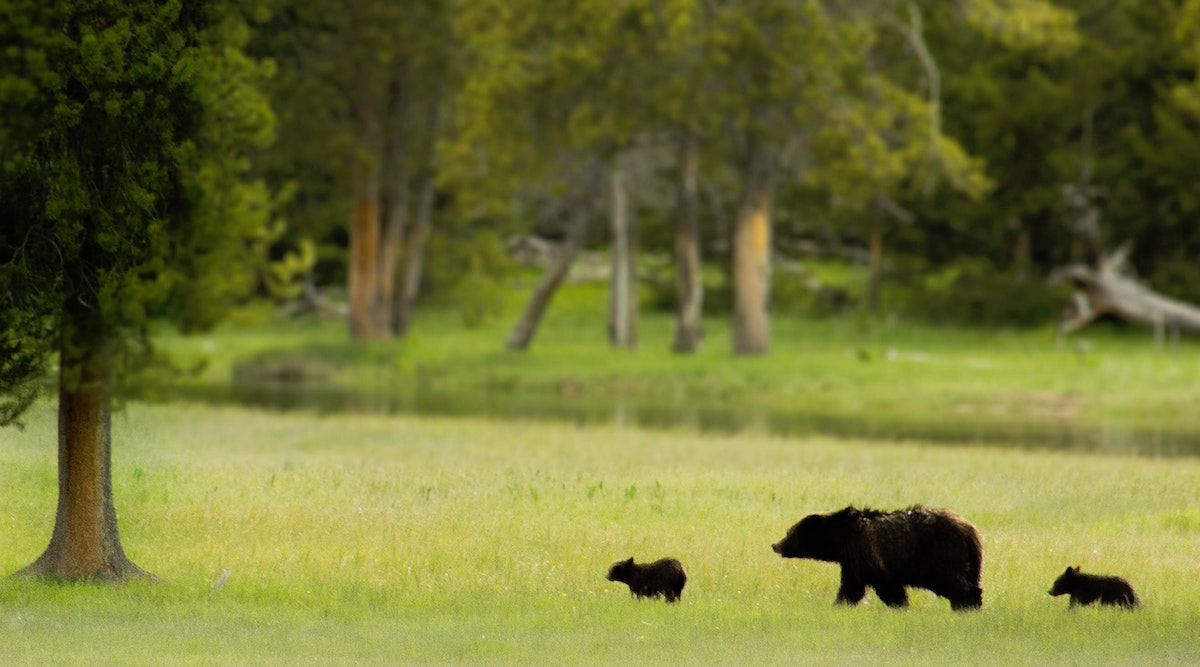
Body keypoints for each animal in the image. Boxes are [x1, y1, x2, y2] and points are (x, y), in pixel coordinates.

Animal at [772, 506, 979, 609]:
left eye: (788, 533)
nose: (775, 545)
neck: (840, 538)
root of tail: (969, 530)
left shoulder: (866, 554)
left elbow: (886, 586)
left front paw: (900, 606)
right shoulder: (851, 562)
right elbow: (851, 588)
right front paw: (839, 605)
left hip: (940, 555)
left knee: (954, 582)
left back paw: (968, 606)